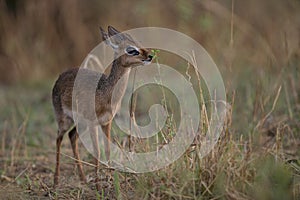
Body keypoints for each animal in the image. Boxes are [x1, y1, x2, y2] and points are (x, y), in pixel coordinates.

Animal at [51, 25, 152, 190]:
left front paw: (110, 179)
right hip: (64, 120)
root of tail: (60, 76)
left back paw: (83, 179)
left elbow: (107, 150)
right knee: (59, 139)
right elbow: (97, 152)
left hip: (80, 124)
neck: (105, 93)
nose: (150, 56)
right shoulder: (93, 123)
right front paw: (99, 186)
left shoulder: (106, 122)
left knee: (72, 137)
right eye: (131, 50)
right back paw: (56, 181)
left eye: (138, 42)